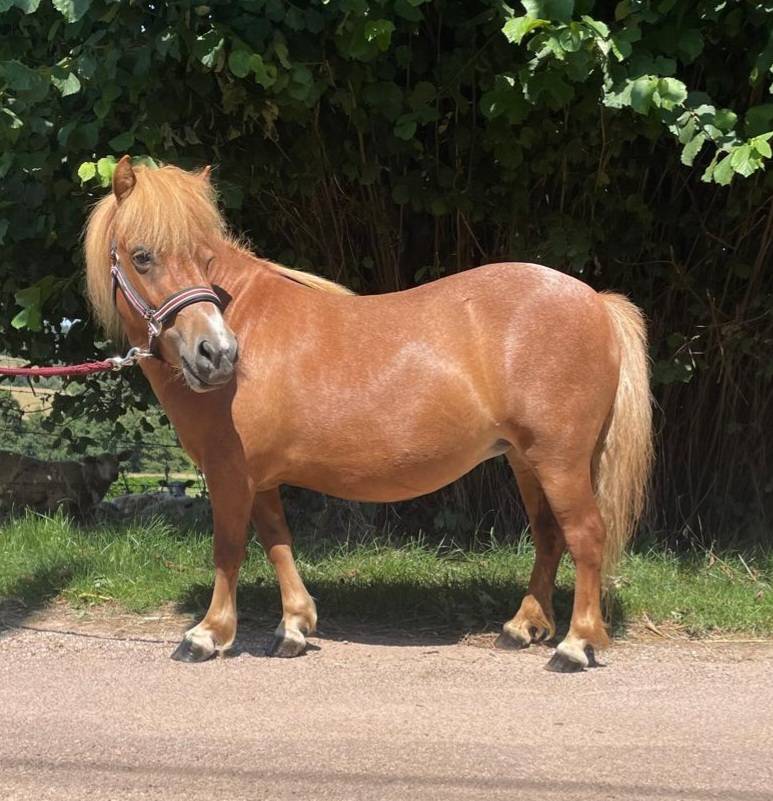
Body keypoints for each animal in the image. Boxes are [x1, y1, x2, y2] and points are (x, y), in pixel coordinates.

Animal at [84, 157, 653, 672]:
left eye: (205, 258)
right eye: (142, 257)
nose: (218, 354)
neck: (247, 316)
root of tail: (595, 300)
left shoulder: (229, 473)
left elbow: (229, 548)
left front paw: (207, 635)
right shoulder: (258, 476)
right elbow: (276, 540)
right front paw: (294, 627)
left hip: (559, 459)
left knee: (586, 534)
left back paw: (576, 645)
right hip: (525, 460)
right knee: (549, 535)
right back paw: (522, 627)